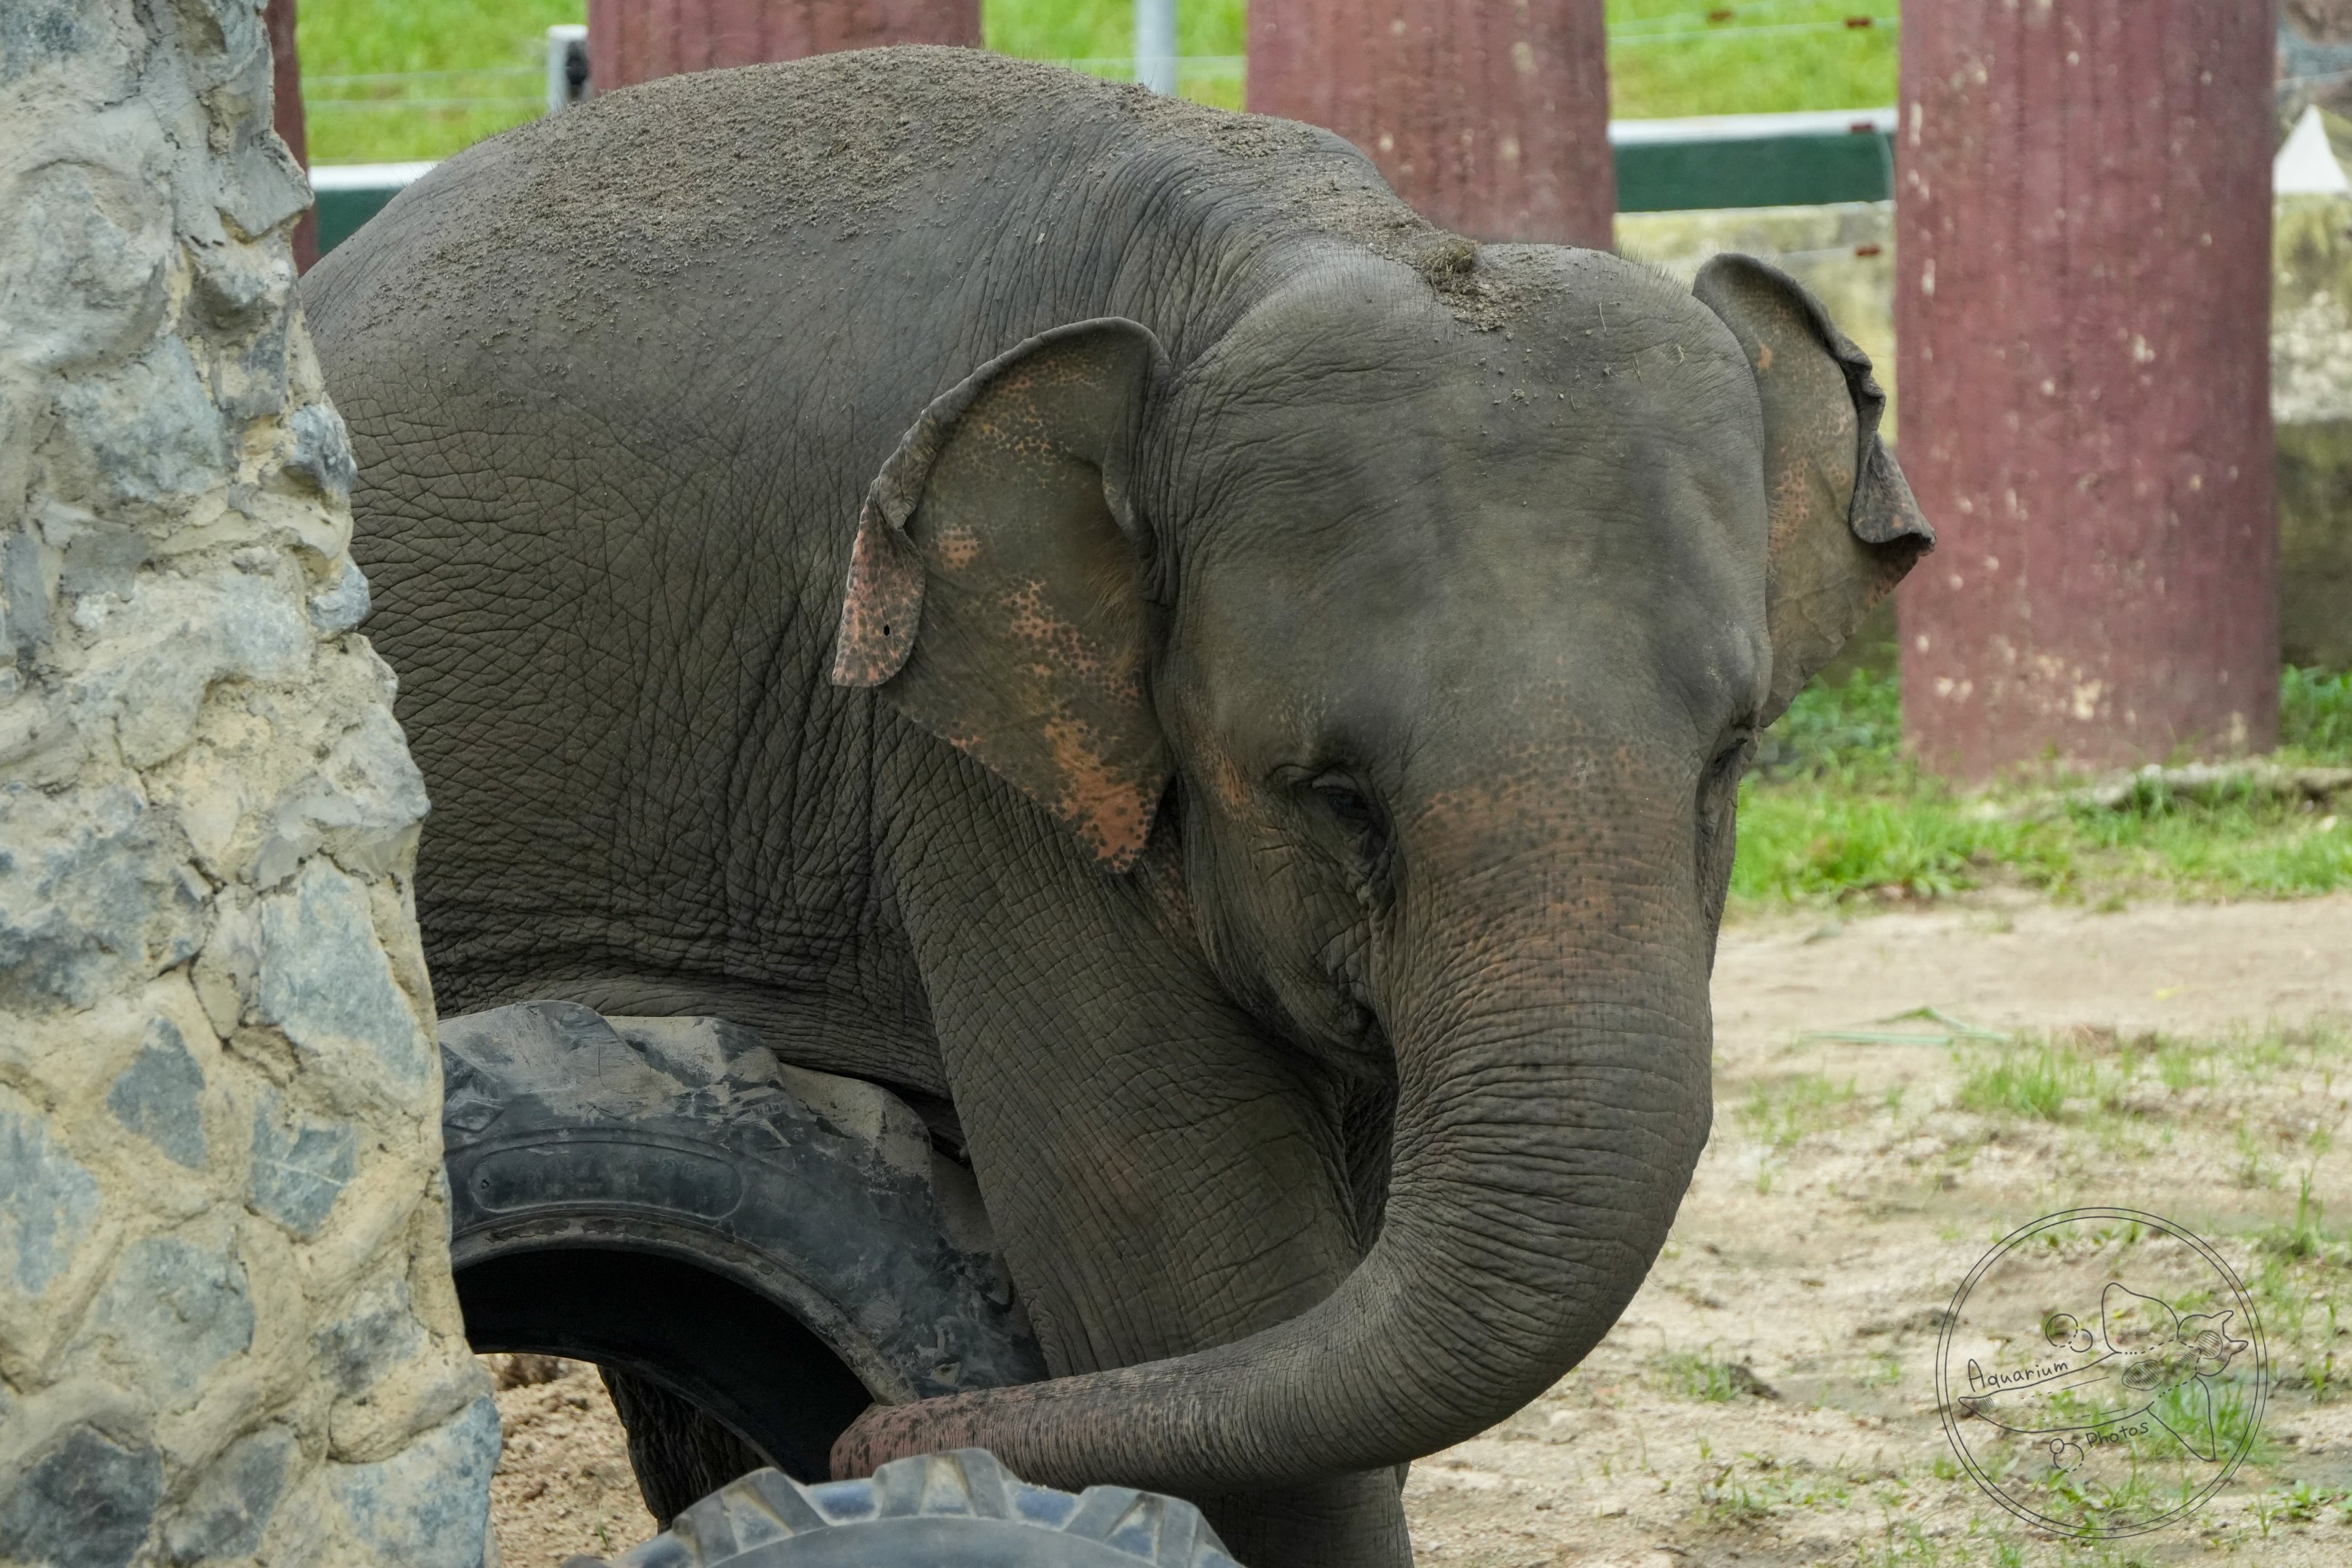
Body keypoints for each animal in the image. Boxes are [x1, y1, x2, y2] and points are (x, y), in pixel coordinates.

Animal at [301, 46, 1931, 1566]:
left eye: (1728, 754)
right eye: (1333, 796)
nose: (871, 1438)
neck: (1269, 244)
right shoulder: (959, 763)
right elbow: (1190, 1276)